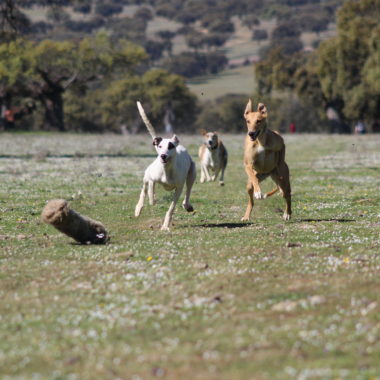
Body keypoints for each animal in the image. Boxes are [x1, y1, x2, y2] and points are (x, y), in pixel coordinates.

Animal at [134, 101, 196, 230]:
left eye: (171, 146)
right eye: (160, 146)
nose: (163, 156)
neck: (166, 170)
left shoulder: (178, 188)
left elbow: (171, 207)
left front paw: (165, 225)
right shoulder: (151, 177)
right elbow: (150, 193)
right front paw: (152, 198)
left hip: (192, 173)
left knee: (188, 192)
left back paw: (187, 206)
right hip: (146, 175)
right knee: (144, 190)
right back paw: (138, 208)